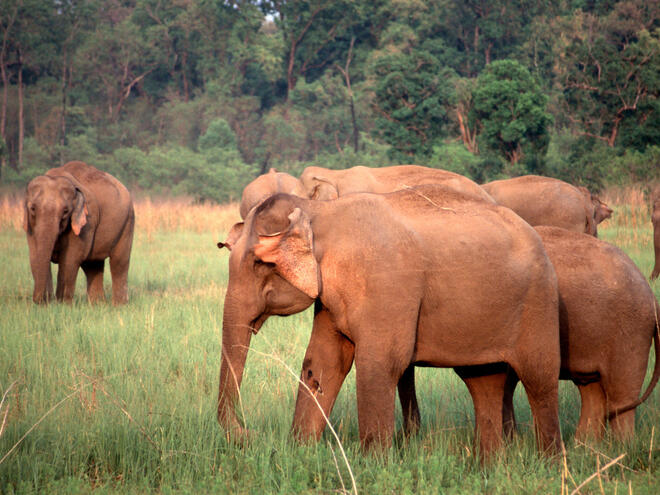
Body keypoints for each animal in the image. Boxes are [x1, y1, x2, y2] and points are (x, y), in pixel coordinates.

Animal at [23, 161, 135, 304]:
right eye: (32, 208)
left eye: (65, 211)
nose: (39, 300)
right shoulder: (31, 226)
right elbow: (34, 255)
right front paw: (47, 304)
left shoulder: (86, 224)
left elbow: (70, 259)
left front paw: (62, 304)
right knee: (93, 265)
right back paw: (98, 305)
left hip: (127, 222)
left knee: (119, 262)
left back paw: (118, 305)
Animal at [216, 184, 562, 457]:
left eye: (260, 264)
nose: (248, 434)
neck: (322, 211)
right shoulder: (330, 298)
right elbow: (325, 360)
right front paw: (300, 449)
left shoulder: (387, 283)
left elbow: (383, 361)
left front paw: (373, 462)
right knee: (484, 381)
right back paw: (487, 462)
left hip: (538, 302)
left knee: (539, 378)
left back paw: (549, 462)